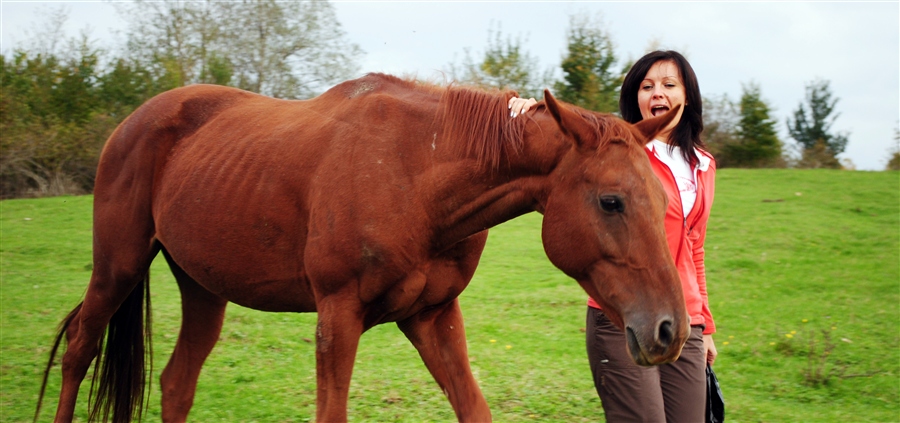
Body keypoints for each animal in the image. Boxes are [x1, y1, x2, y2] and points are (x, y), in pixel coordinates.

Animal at [33, 74, 688, 422]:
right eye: (611, 201)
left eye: (662, 196)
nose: (670, 330)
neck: (416, 175)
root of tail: (134, 121)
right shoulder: (337, 318)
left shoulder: (433, 318)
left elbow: (473, 407)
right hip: (116, 267)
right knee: (79, 349)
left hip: (202, 288)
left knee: (176, 381)